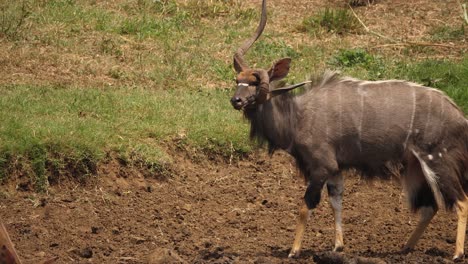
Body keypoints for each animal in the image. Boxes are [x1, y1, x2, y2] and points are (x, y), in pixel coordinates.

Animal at [229, 0, 468, 260]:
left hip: (437, 160)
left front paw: (294, 250)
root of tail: (460, 116)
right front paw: (337, 246)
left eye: (255, 83)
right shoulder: (336, 169)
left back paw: (456, 254)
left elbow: (306, 206)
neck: (297, 116)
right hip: (415, 168)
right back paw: (404, 248)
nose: (236, 100)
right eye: (237, 81)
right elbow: (337, 201)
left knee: (461, 201)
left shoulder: (321, 166)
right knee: (430, 207)